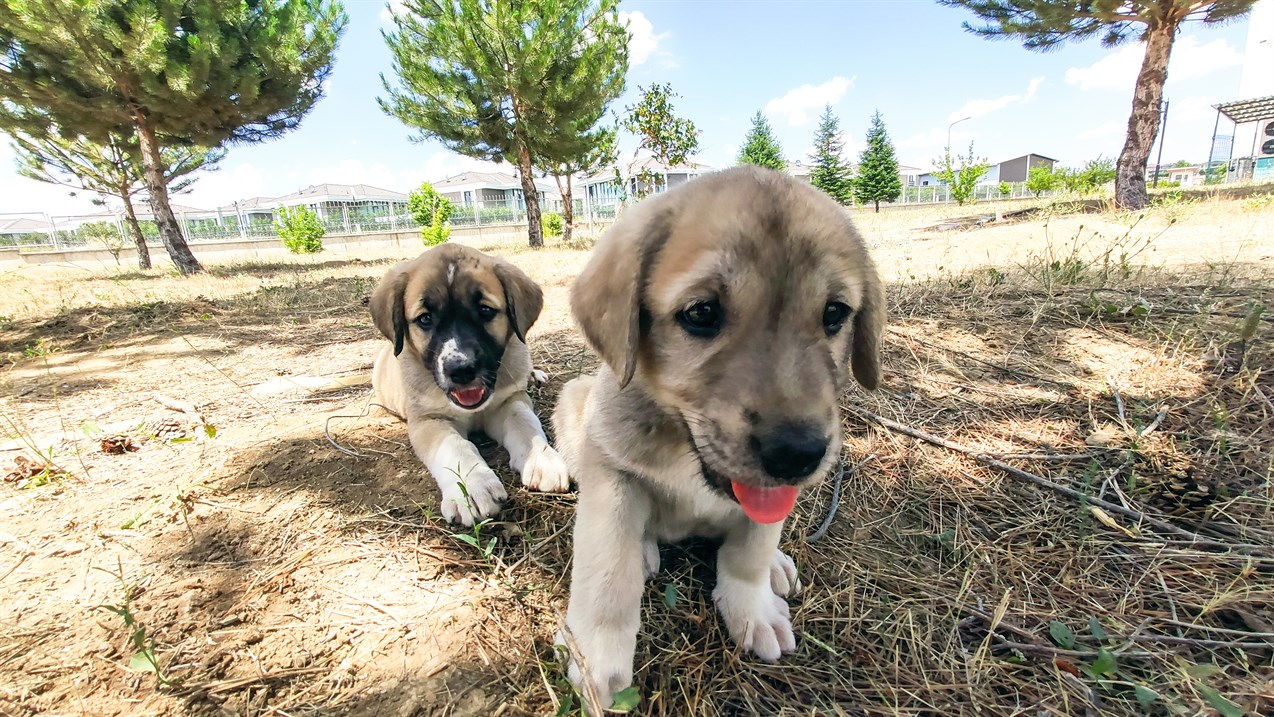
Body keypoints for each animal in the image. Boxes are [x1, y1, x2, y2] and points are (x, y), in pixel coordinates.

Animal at [369, 244, 568, 524]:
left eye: (485, 311)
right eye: (425, 319)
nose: (461, 370)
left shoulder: (510, 400)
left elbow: (525, 423)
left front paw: (542, 458)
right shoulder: (428, 419)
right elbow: (456, 446)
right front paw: (472, 486)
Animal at [552, 165, 881, 708]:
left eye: (834, 314)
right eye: (701, 313)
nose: (798, 454)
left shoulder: (770, 502)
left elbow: (749, 551)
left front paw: (751, 606)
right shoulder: (609, 468)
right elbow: (606, 571)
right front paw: (595, 655)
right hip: (572, 404)